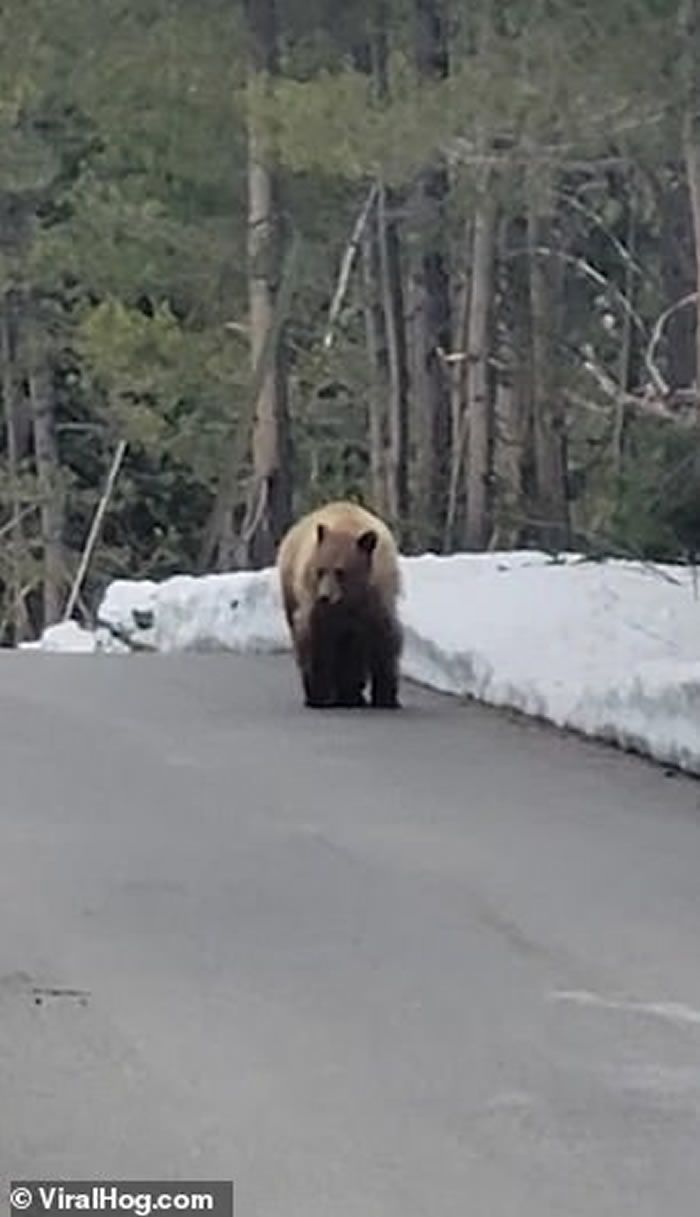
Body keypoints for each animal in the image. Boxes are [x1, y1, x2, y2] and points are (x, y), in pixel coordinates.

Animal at [275, 498, 401, 710]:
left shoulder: (376, 601)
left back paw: (352, 693)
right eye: (320, 570)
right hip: (290, 591)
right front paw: (319, 694)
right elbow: (316, 642)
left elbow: (384, 643)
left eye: (340, 571)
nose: (325, 596)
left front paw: (386, 697)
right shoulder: (315, 607)